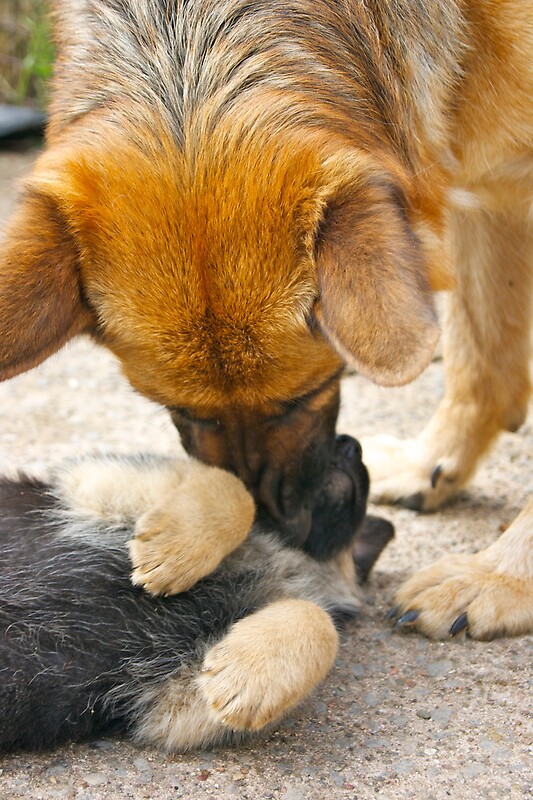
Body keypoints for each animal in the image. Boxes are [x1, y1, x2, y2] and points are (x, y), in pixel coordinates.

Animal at [0, 1, 528, 636]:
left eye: (302, 399)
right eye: (182, 412)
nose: (280, 531)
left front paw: (497, 579)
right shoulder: (485, 180)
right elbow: (482, 361)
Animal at [0, 434, 390, 752]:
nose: (351, 444)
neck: (284, 552)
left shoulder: (170, 702)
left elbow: (318, 617)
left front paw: (245, 677)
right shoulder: (95, 479)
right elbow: (233, 489)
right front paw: (175, 552)